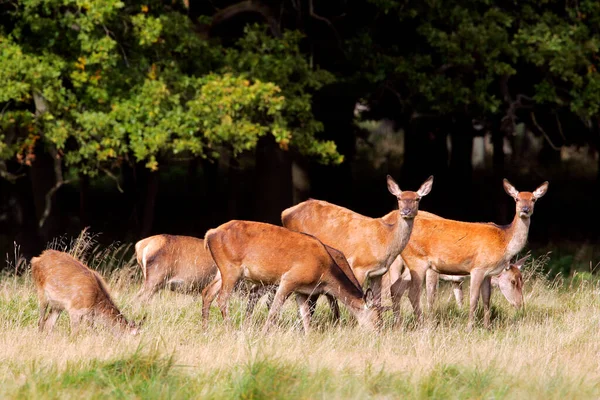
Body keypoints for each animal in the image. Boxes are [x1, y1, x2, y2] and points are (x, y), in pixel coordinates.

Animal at [202, 220, 380, 332]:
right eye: (377, 319)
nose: (378, 334)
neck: (324, 272)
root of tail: (209, 234)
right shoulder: (290, 279)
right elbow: (274, 311)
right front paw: (264, 334)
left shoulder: (302, 290)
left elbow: (305, 315)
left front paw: (309, 337)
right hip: (231, 268)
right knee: (222, 298)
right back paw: (230, 330)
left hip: (222, 271)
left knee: (207, 292)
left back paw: (206, 329)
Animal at [284, 175, 434, 316]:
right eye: (399, 198)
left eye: (417, 199)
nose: (406, 211)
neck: (385, 241)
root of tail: (285, 213)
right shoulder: (358, 266)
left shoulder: (378, 273)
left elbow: (377, 302)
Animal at [390, 180, 548, 330]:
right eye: (517, 199)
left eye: (533, 199)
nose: (520, 305)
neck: (503, 240)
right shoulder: (478, 268)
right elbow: (473, 299)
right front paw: (470, 327)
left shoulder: (487, 273)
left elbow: (486, 299)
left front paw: (487, 327)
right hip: (417, 260)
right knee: (412, 293)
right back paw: (421, 325)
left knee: (395, 288)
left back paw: (398, 324)